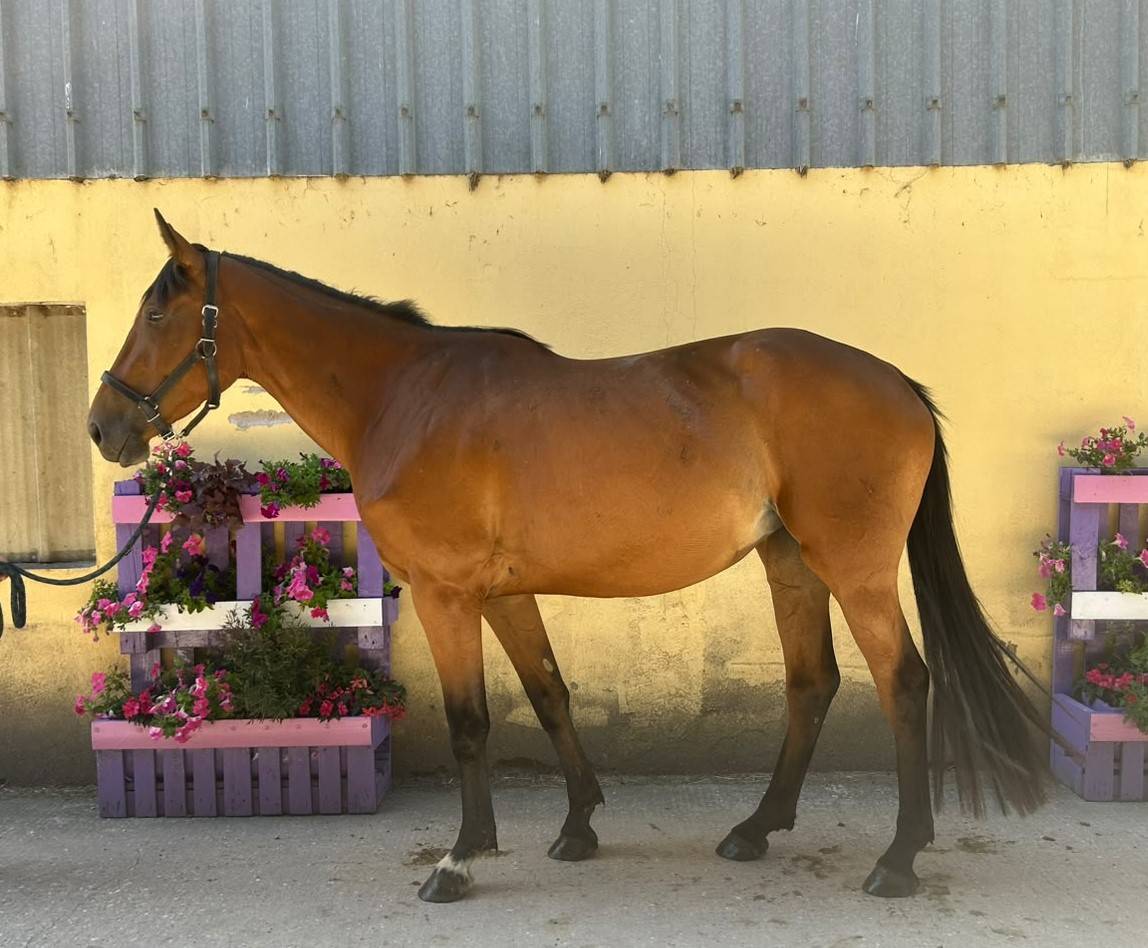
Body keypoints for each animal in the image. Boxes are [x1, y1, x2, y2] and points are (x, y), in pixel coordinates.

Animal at [86, 211, 1046, 903]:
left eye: (157, 312)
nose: (103, 427)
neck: (402, 396)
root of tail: (898, 383)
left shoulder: (445, 594)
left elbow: (472, 722)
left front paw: (460, 860)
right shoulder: (504, 594)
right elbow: (549, 694)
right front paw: (578, 825)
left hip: (852, 568)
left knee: (904, 682)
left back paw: (899, 858)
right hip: (790, 563)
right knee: (812, 684)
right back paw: (756, 828)